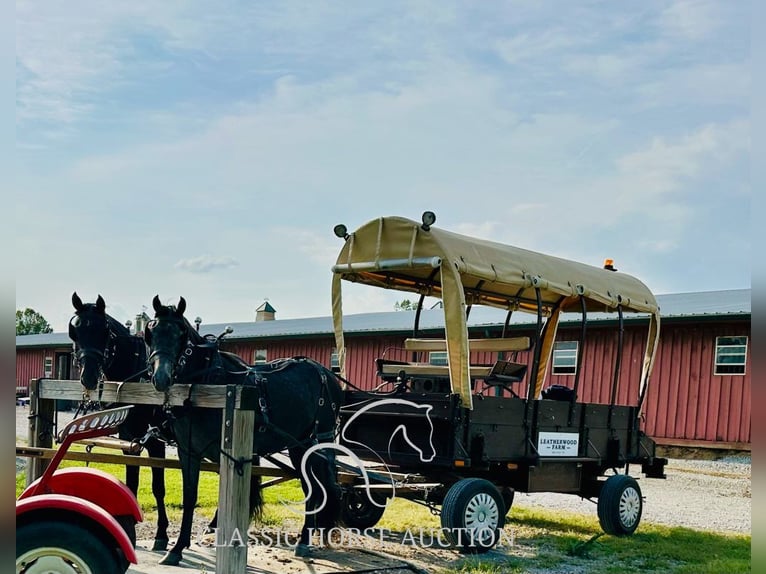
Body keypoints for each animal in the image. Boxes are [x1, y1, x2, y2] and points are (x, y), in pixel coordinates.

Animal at [69, 294, 171, 552]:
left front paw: (161, 535)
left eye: (104, 330)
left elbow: (158, 487)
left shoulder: (155, 441)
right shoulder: (129, 438)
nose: (88, 376)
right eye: (74, 331)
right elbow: (131, 484)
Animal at [146, 296, 344, 568]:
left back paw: (305, 541)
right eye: (151, 332)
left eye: (180, 334)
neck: (209, 384)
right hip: (298, 445)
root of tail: (326, 374)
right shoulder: (189, 451)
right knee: (312, 489)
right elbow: (190, 496)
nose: (161, 378)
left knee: (314, 489)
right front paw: (177, 548)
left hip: (313, 443)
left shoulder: (227, 452)